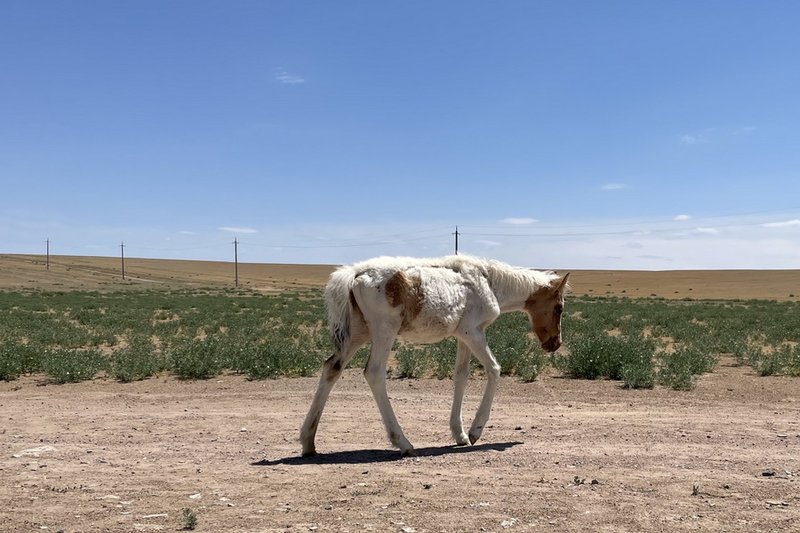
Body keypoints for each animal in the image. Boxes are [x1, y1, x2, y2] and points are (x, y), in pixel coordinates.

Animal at [300, 256, 568, 456]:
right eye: (559, 307)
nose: (555, 344)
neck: (488, 281)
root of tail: (355, 274)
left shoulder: (463, 336)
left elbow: (461, 375)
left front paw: (459, 434)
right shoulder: (473, 332)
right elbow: (494, 369)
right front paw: (475, 431)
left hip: (358, 334)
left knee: (331, 368)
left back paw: (308, 442)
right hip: (383, 332)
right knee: (374, 373)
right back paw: (403, 442)